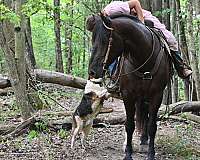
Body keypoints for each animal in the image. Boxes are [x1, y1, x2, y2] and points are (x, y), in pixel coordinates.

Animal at [86, 14, 171, 160]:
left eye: (105, 40)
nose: (92, 72)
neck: (144, 59)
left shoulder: (157, 95)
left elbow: (152, 125)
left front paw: (151, 153)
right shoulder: (128, 95)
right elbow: (129, 124)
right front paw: (128, 153)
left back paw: (144, 141)